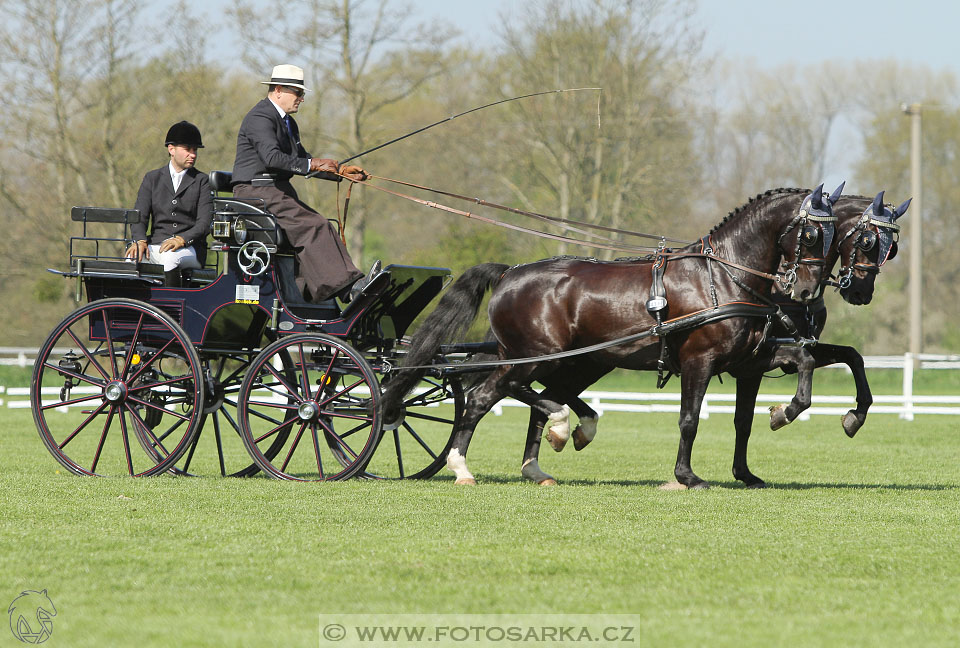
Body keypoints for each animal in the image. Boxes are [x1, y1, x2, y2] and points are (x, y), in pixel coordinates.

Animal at [386, 186, 836, 486]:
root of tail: (510, 272)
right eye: (813, 234)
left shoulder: (747, 358)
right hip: (537, 355)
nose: (807, 292)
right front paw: (686, 476)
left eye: (833, 237)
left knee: (499, 395)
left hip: (567, 358)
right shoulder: (700, 360)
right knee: (497, 392)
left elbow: (804, 363)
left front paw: (783, 413)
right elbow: (689, 419)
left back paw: (528, 456)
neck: (723, 275)